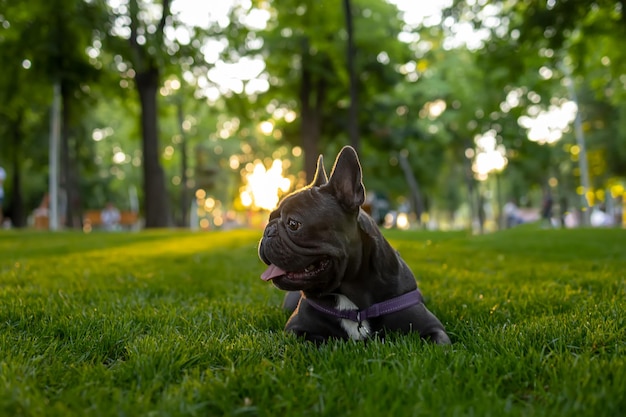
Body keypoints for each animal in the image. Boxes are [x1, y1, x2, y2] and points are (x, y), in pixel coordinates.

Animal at [258, 146, 448, 344]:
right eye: (270, 218)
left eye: (293, 224)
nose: (268, 231)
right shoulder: (295, 330)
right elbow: (313, 341)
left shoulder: (432, 328)